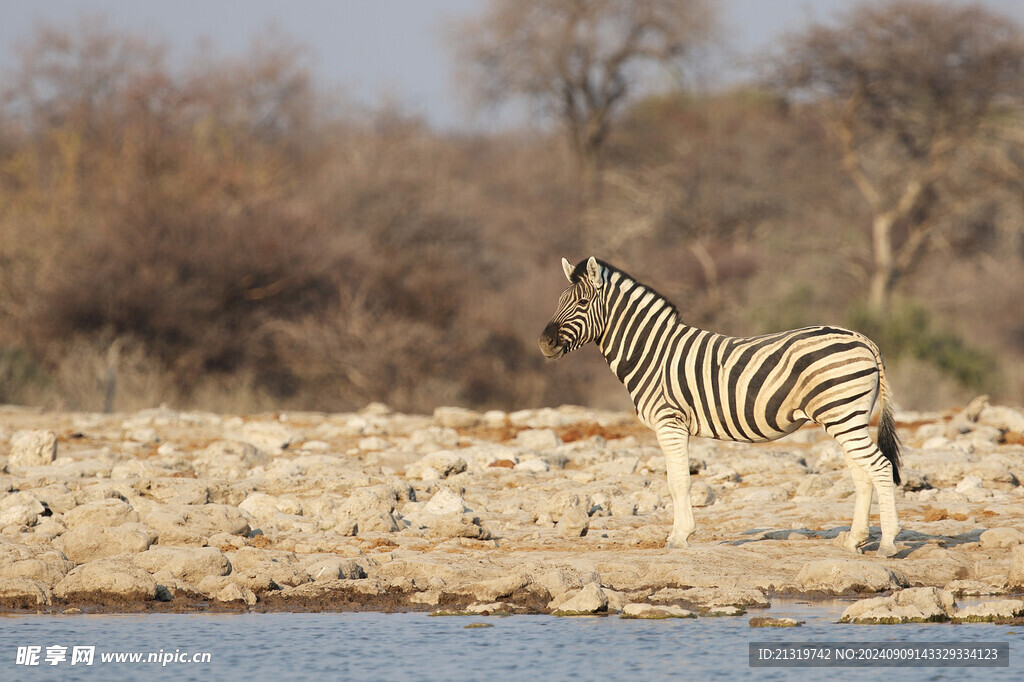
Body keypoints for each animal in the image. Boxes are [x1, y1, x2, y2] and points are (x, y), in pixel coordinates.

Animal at [540, 254, 901, 552]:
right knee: (863, 474)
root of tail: (863, 339)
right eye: (559, 301)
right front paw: (679, 533)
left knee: (880, 467)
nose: (544, 343)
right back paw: (854, 541)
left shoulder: (669, 422)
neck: (651, 354)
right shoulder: (675, 426)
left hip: (843, 414)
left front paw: (679, 537)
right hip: (845, 418)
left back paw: (887, 544)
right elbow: (676, 481)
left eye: (583, 301)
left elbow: (678, 481)